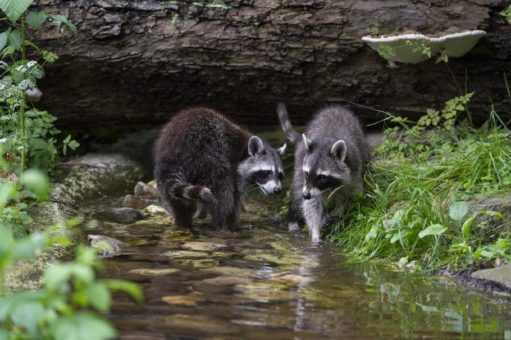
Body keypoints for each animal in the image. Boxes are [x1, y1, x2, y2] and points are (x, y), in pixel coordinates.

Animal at [154, 107, 286, 230]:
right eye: (266, 172)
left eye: (280, 175)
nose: (277, 190)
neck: (243, 151)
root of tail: (172, 154)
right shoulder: (233, 165)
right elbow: (233, 197)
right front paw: (231, 221)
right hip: (206, 157)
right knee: (222, 188)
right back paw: (225, 226)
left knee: (180, 202)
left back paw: (184, 223)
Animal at [278, 103, 370, 242]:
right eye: (307, 173)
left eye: (322, 176)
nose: (305, 195)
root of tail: (336, 107)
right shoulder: (306, 180)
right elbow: (311, 205)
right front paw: (315, 234)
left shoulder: (354, 170)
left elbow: (354, 197)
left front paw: (339, 210)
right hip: (300, 160)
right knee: (296, 191)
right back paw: (293, 222)